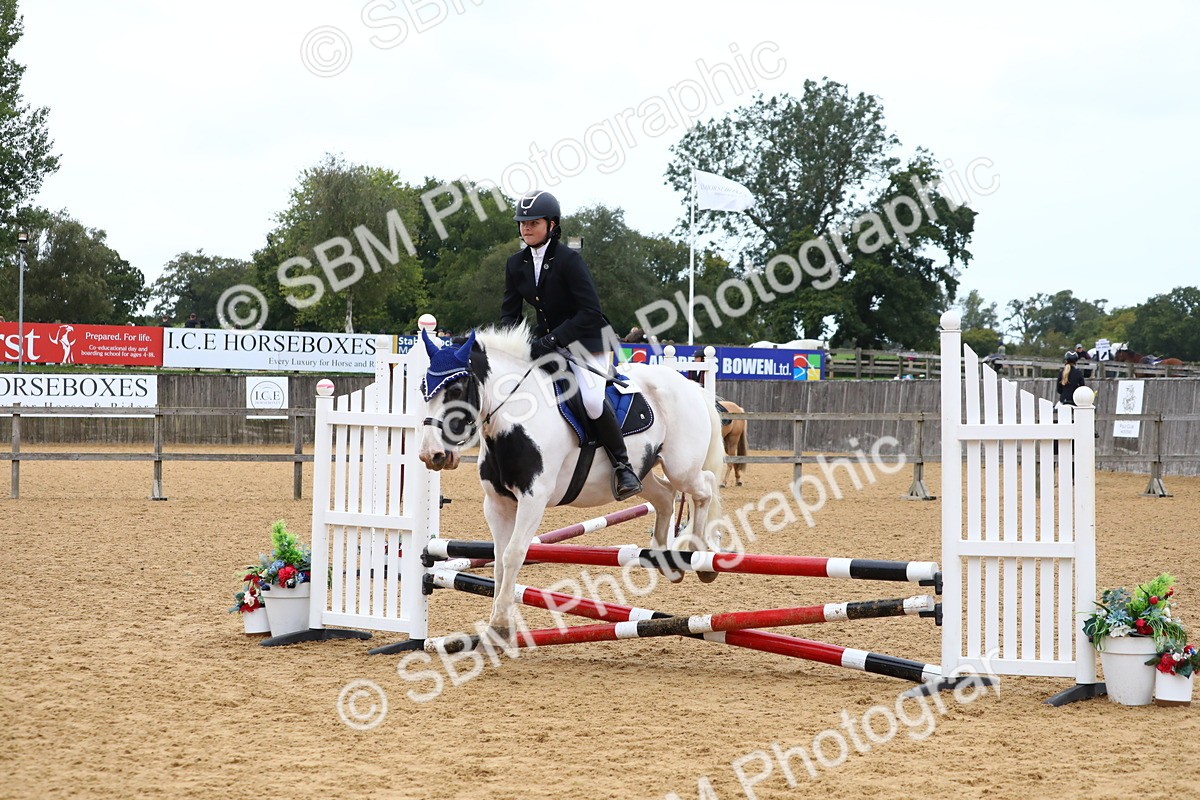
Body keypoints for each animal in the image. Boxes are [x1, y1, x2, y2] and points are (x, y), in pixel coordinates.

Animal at [417, 326, 726, 635]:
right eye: (423, 390)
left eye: (456, 390)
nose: (431, 455)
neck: (515, 418)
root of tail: (689, 386)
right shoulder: (497, 504)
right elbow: (499, 561)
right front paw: (498, 622)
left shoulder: (533, 499)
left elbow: (513, 554)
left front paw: (502, 624)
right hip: (643, 472)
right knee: (664, 497)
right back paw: (666, 559)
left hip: (681, 467)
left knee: (705, 487)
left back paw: (702, 555)